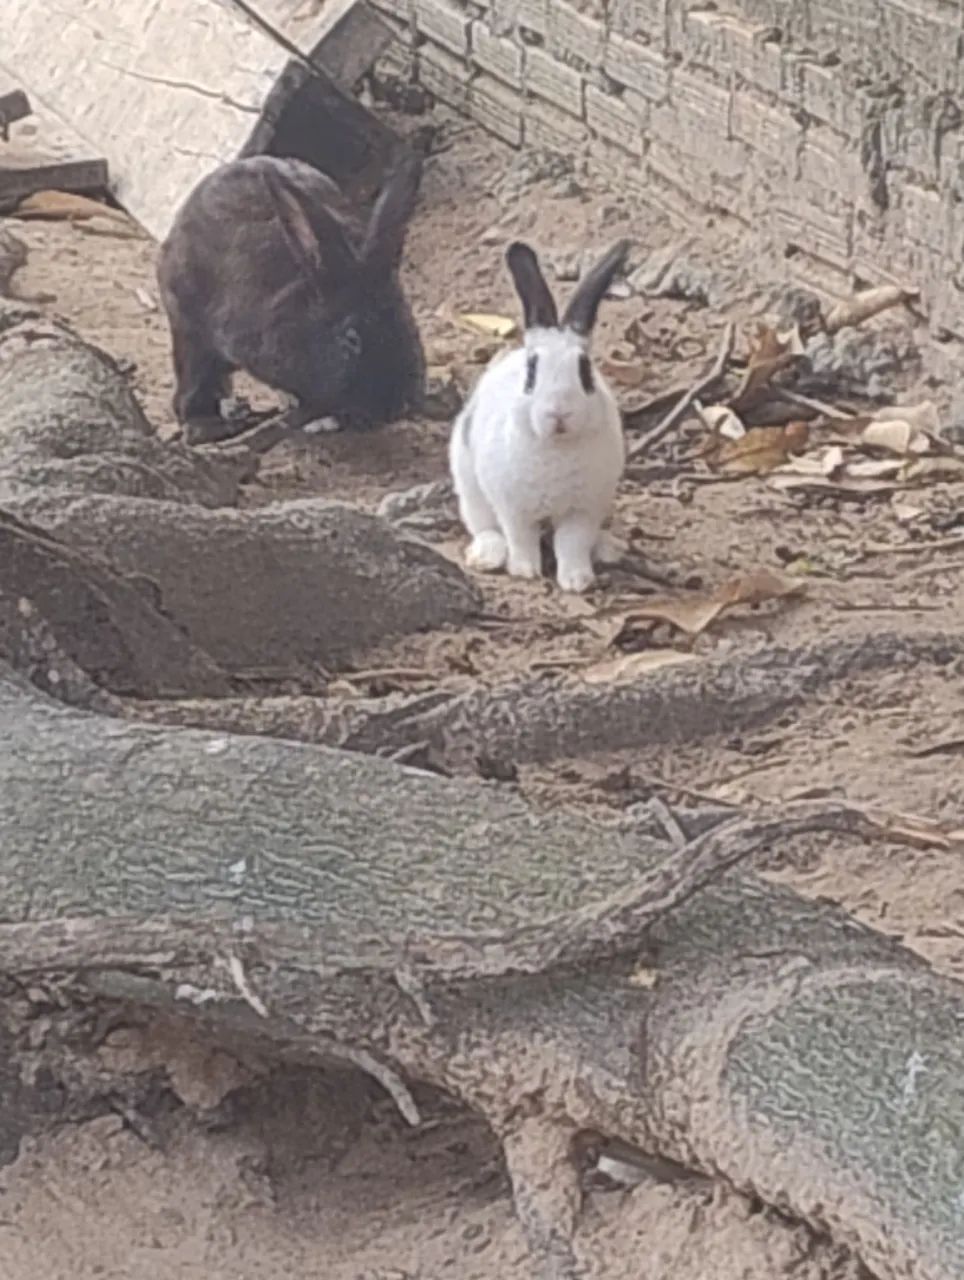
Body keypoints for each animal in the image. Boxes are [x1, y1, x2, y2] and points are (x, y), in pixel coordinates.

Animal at [449, 238, 631, 593]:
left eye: (585, 371)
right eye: (532, 371)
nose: (558, 412)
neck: (556, 447)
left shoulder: (583, 511)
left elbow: (571, 544)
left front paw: (577, 580)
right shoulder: (514, 509)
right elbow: (522, 539)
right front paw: (524, 571)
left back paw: (610, 548)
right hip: (469, 487)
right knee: (484, 526)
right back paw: (487, 556)